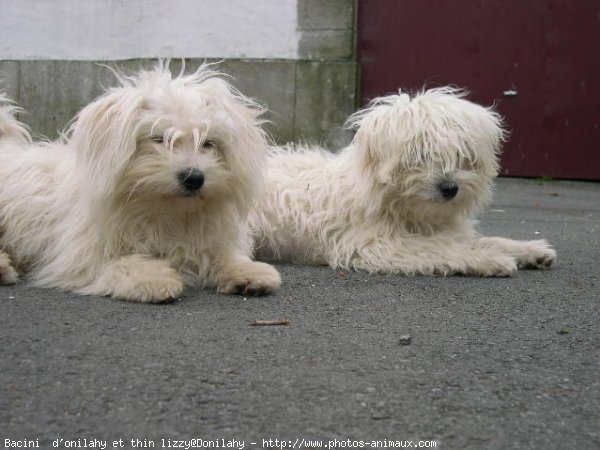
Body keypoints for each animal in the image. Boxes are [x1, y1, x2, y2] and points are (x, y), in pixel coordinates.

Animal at [0, 62, 282, 302]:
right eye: (158, 139)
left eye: (208, 143)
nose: (194, 178)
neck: (162, 210)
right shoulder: (79, 256)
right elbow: (119, 264)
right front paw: (153, 278)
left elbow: (221, 255)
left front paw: (247, 271)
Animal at [251, 87, 556, 278]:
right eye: (420, 154)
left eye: (460, 154)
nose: (450, 188)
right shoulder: (375, 245)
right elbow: (440, 247)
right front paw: (489, 259)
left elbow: (484, 240)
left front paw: (530, 250)